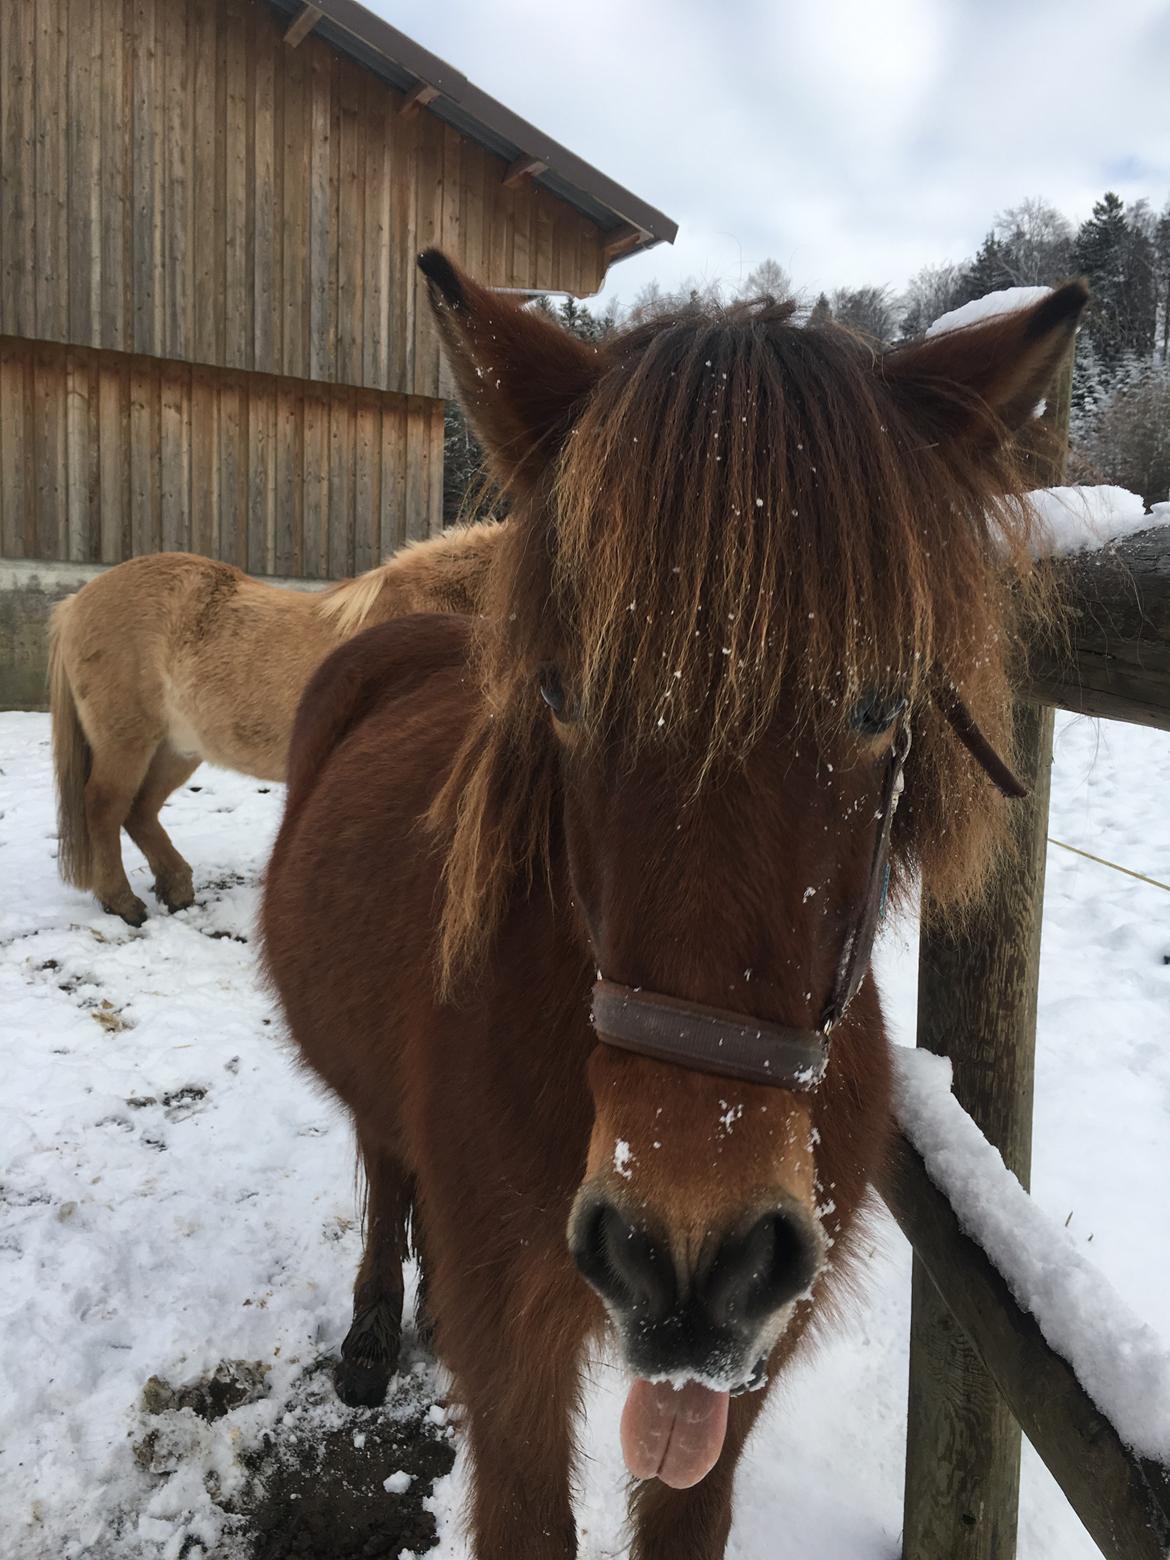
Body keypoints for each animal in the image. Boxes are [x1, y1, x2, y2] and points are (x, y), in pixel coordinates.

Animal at [49, 517, 505, 917]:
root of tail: (77, 602)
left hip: (177, 748)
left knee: (140, 810)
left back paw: (176, 889)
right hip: (126, 740)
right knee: (105, 807)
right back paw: (123, 903)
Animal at [265, 249, 1092, 1553]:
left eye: (882, 703)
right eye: (560, 694)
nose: (690, 1254)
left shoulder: (730, 1391)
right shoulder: (518, 1376)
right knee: (384, 1166)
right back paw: (372, 1329)